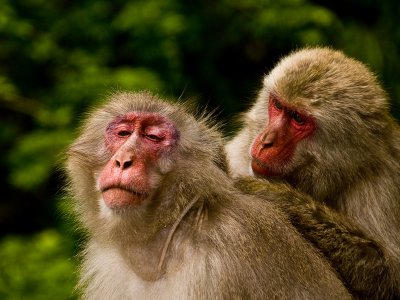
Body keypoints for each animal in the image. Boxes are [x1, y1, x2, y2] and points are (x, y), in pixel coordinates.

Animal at [227, 47, 400, 298]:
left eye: (298, 118)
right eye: (278, 105)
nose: (266, 141)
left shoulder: (380, 184)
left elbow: (392, 277)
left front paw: (275, 195)